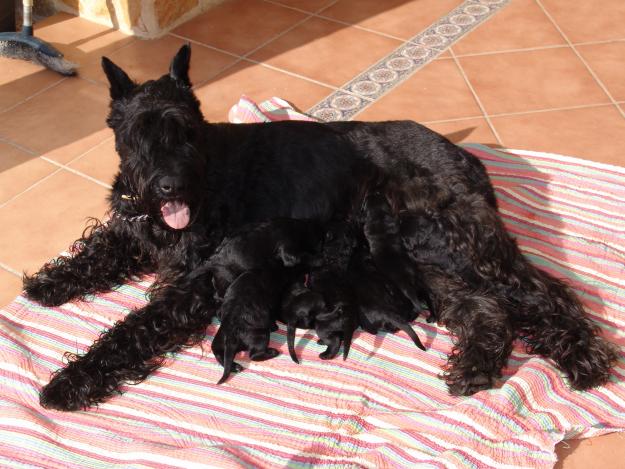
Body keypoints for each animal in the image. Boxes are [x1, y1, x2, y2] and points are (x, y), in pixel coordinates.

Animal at [25, 44, 616, 410]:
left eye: (185, 130)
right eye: (138, 136)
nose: (169, 187)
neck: (207, 171)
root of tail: (467, 156)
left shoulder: (195, 284)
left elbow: (132, 329)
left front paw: (71, 381)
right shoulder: (136, 229)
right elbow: (100, 247)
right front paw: (49, 283)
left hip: (464, 242)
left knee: (543, 291)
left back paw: (584, 357)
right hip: (422, 256)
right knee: (485, 307)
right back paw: (475, 366)